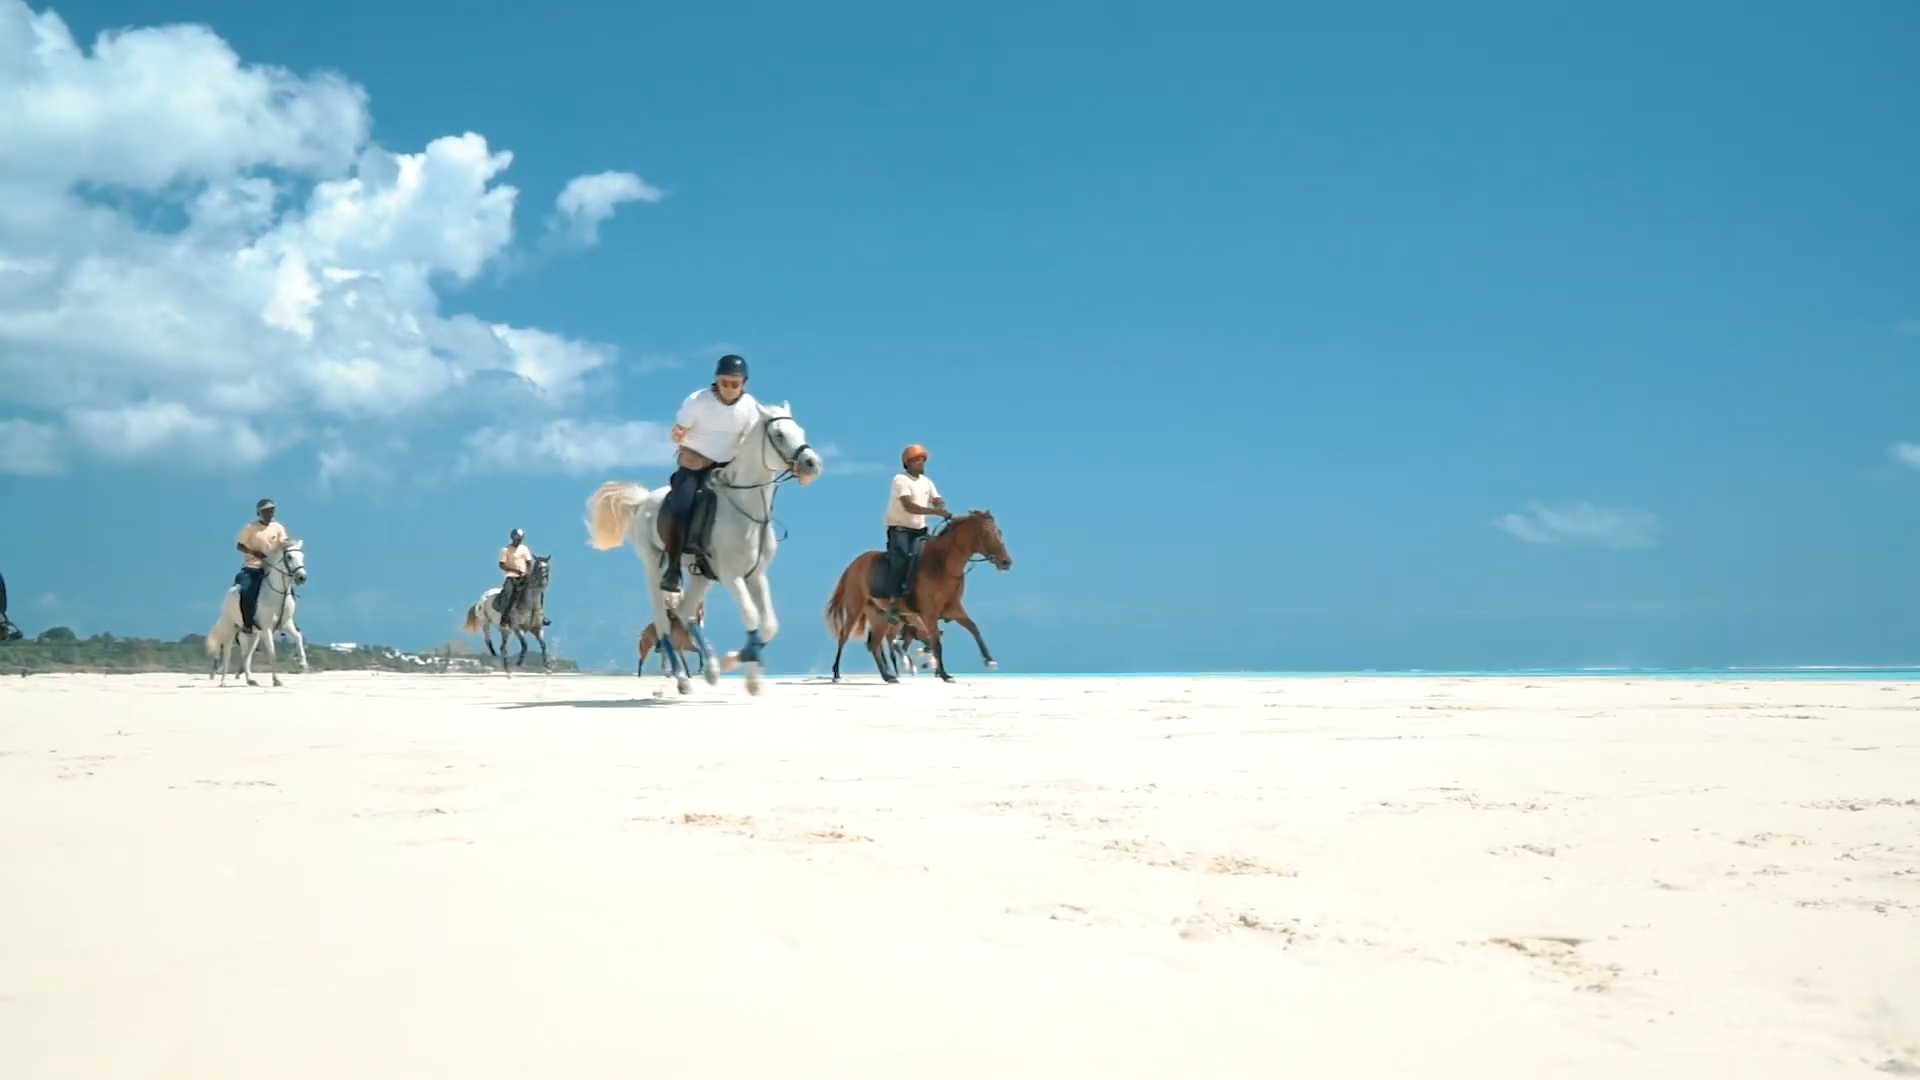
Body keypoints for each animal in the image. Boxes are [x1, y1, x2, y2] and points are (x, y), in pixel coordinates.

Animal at [205, 541, 307, 684]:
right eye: (290, 557)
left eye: (302, 556)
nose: (302, 577)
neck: (276, 594)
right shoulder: (267, 628)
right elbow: (272, 653)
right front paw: (276, 680)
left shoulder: (286, 624)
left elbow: (298, 637)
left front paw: (303, 665)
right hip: (232, 628)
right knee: (227, 652)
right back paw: (223, 681)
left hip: (251, 634)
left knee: (247, 654)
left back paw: (249, 679)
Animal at [583, 399, 825, 691]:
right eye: (779, 434)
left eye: (800, 430)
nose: (812, 464)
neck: (745, 508)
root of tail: (642, 501)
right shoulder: (731, 575)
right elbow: (751, 615)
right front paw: (734, 662)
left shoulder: (755, 575)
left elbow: (769, 624)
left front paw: (746, 673)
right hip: (654, 566)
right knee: (663, 620)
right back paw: (681, 677)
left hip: (702, 577)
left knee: (683, 613)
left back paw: (708, 669)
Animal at [817, 507, 1013, 680]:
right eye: (983, 533)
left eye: (999, 532)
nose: (1006, 562)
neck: (941, 564)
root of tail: (853, 565)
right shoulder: (929, 613)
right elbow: (936, 641)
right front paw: (944, 674)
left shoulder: (953, 609)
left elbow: (973, 628)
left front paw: (989, 660)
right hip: (855, 609)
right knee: (844, 637)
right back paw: (836, 674)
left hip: (879, 615)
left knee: (874, 644)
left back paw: (888, 676)